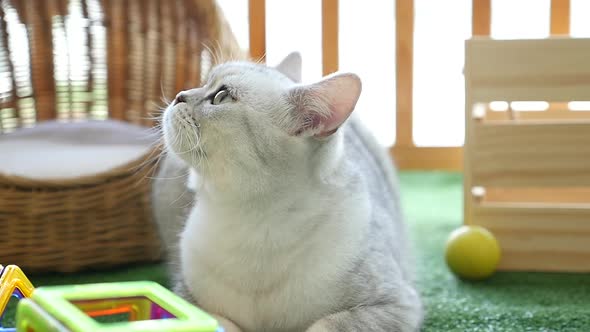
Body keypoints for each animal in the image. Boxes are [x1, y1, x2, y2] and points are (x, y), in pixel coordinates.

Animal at [155, 53, 424, 330]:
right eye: (203, 82)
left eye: (221, 96)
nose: (179, 95)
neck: (252, 224)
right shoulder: (189, 299)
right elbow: (221, 324)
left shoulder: (394, 305)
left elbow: (323, 325)